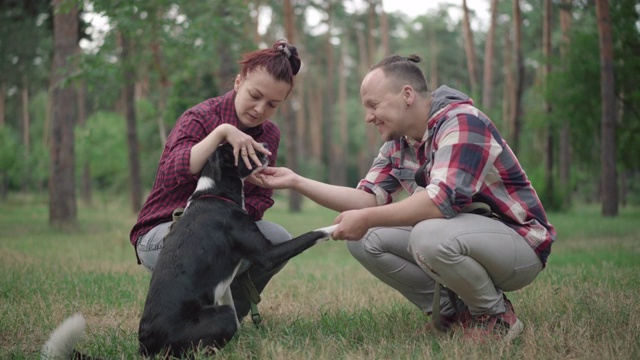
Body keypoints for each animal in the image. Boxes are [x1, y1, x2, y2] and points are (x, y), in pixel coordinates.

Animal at [41, 143, 336, 358]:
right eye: (243, 149)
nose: (264, 145)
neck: (215, 192)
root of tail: (145, 348)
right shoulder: (266, 253)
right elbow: (312, 234)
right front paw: (336, 226)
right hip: (220, 319)